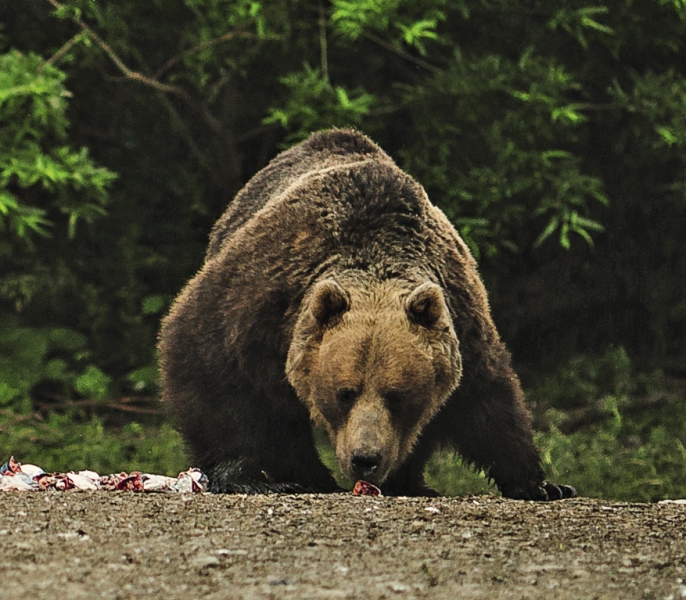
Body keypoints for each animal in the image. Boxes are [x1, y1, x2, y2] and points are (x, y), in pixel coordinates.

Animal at [159, 129, 576, 500]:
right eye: (344, 392)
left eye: (397, 394)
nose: (365, 458)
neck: (375, 255)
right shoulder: (265, 295)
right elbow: (208, 360)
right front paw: (249, 476)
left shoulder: (461, 317)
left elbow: (490, 401)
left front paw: (542, 484)